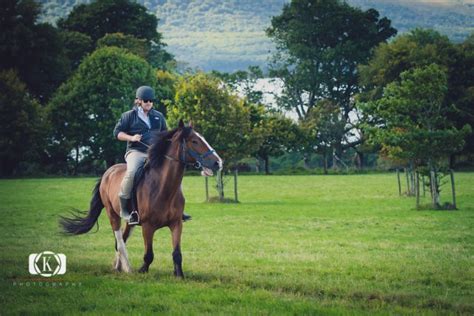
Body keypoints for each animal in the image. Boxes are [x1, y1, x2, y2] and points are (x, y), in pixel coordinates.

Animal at [59, 120, 222, 276]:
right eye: (194, 141)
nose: (218, 162)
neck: (163, 189)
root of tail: (108, 172)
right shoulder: (148, 226)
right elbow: (148, 254)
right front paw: (142, 270)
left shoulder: (176, 224)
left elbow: (177, 253)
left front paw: (179, 275)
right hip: (113, 215)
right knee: (119, 241)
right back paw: (127, 268)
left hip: (130, 221)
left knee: (122, 240)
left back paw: (117, 267)